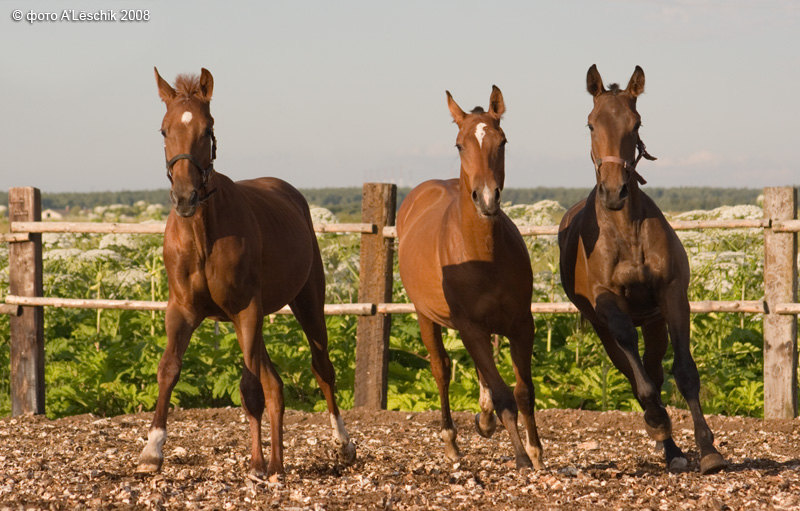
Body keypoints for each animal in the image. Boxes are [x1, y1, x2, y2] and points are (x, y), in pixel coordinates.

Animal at [136, 67, 354, 480]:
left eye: (207, 128)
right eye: (163, 130)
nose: (185, 198)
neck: (203, 235)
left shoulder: (246, 309)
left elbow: (250, 388)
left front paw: (257, 465)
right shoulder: (182, 310)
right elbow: (169, 368)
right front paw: (152, 450)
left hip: (305, 303)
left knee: (321, 369)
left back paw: (341, 443)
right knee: (275, 383)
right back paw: (277, 462)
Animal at [398, 86, 544, 470]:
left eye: (502, 141)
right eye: (459, 145)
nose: (488, 198)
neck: (482, 253)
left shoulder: (521, 324)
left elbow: (523, 391)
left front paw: (536, 452)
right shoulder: (470, 327)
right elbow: (504, 394)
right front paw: (522, 458)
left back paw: (485, 418)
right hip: (426, 317)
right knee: (442, 369)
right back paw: (451, 441)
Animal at [560, 65, 728, 476]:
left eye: (635, 123)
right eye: (591, 123)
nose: (614, 191)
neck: (625, 232)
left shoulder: (672, 297)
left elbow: (684, 372)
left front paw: (708, 449)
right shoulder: (610, 309)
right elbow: (645, 387)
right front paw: (657, 422)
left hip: (652, 324)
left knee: (654, 367)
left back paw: (674, 451)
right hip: (605, 331)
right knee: (636, 374)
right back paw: (663, 435)